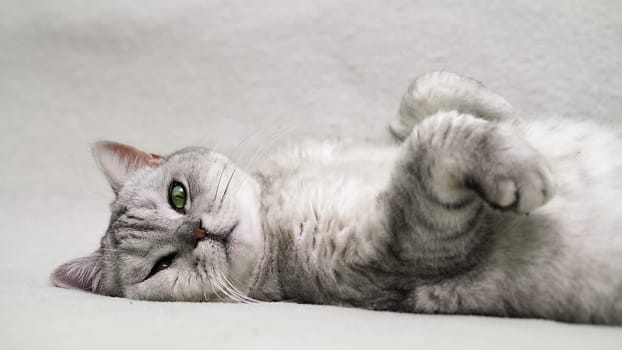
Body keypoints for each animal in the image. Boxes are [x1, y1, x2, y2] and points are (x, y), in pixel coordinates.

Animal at [52, 71, 622, 326]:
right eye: (161, 265)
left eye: (177, 195)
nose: (199, 231)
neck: (276, 204)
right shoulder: (405, 250)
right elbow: (433, 142)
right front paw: (521, 167)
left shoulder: (397, 129)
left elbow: (421, 96)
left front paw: (501, 111)